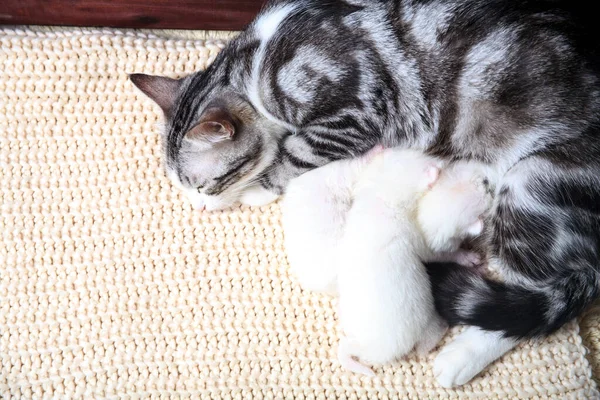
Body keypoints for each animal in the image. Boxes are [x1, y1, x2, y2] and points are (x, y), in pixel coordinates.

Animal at [338, 149, 492, 376]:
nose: (486, 180)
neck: (378, 196)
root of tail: (369, 349)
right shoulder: (420, 240)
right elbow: (440, 253)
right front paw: (468, 256)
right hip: (425, 320)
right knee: (425, 343)